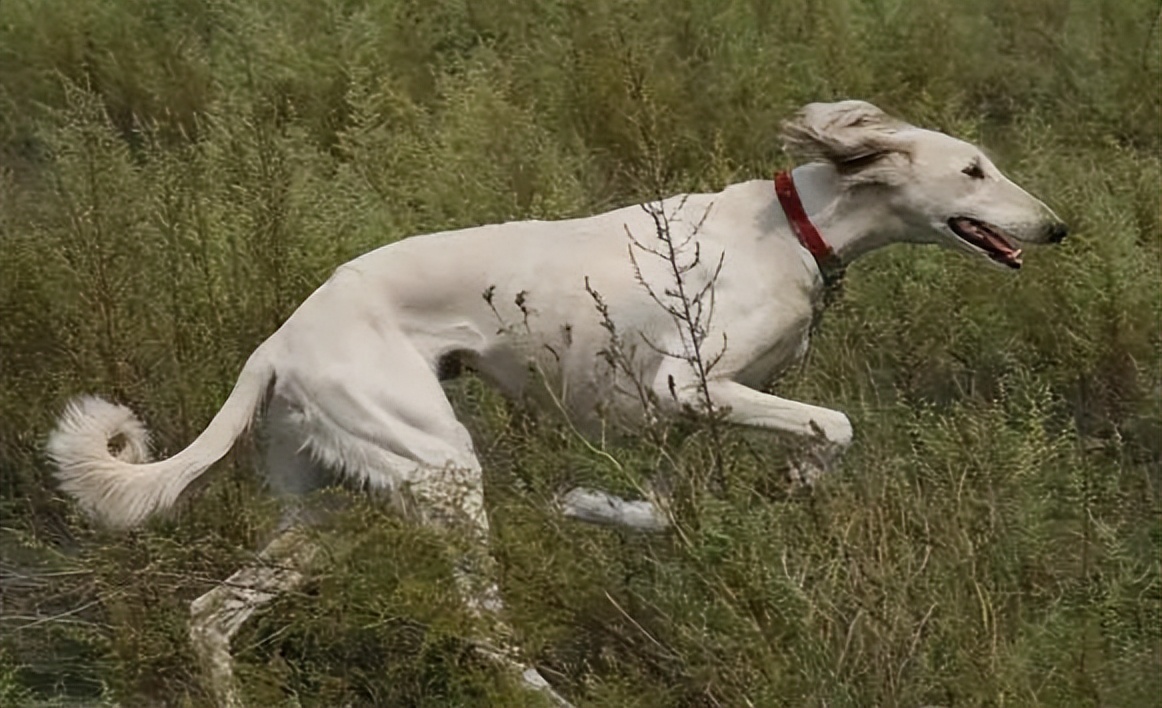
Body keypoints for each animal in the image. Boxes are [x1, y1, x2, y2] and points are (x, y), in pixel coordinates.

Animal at [45, 100, 1064, 706]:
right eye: (973, 170)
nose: (1057, 227)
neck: (793, 228)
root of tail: (277, 343)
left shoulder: (677, 417)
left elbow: (658, 511)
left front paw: (585, 505)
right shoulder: (690, 385)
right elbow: (834, 425)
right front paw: (803, 479)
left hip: (333, 507)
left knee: (210, 612)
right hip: (444, 472)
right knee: (486, 634)